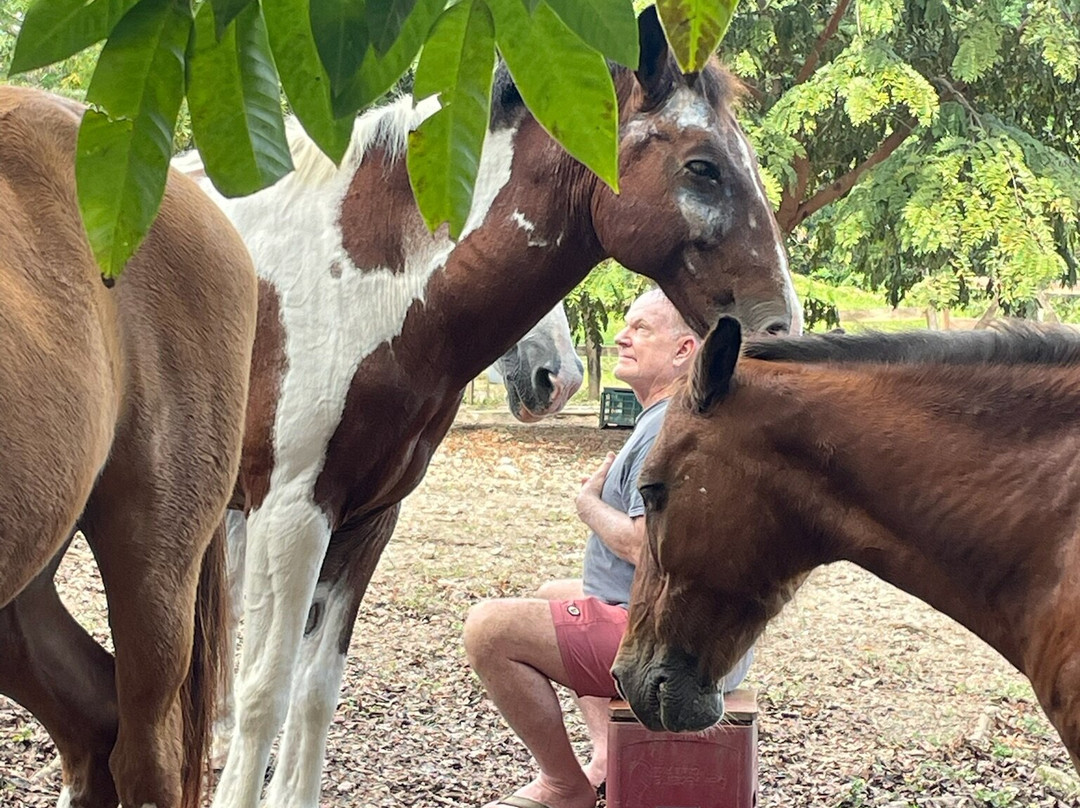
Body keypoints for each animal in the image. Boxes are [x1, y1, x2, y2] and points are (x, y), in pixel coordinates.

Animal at [180, 8, 803, 806]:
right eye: (702, 166)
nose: (779, 329)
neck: (356, 282)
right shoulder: (290, 513)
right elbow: (265, 693)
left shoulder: (365, 519)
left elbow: (315, 692)